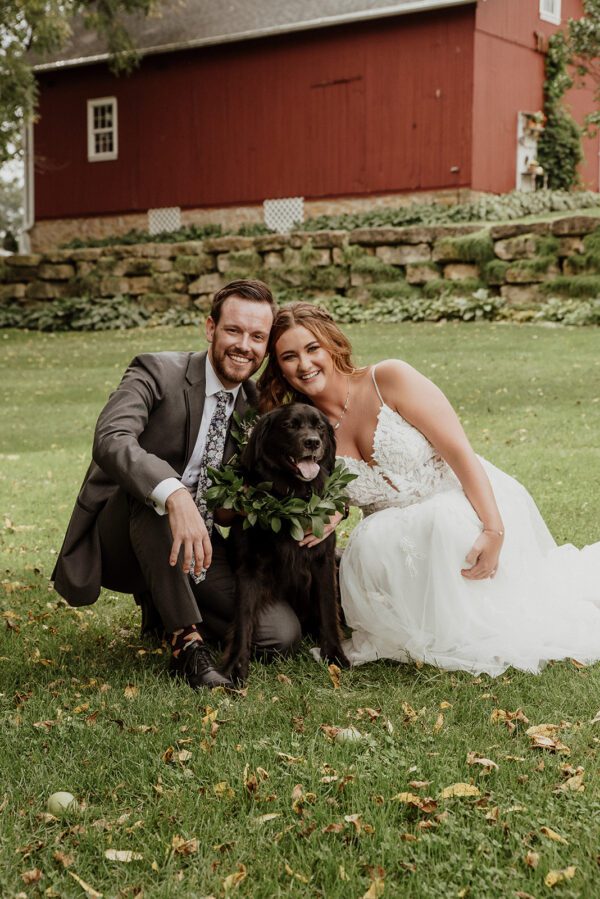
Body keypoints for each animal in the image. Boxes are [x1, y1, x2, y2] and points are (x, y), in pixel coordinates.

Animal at [220, 403, 350, 683]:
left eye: (319, 427)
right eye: (290, 425)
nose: (312, 442)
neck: (291, 500)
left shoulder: (323, 560)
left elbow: (328, 607)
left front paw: (334, 655)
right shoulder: (249, 568)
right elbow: (243, 618)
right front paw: (236, 666)